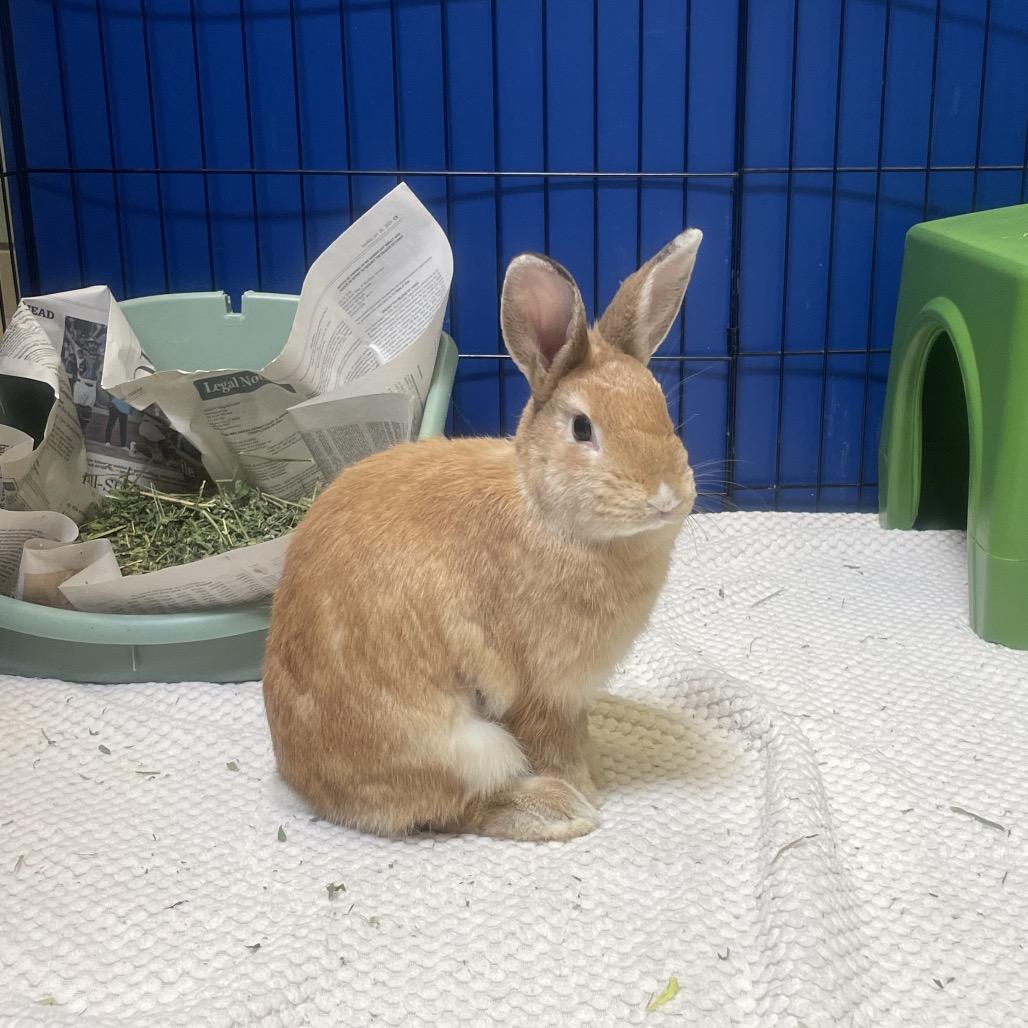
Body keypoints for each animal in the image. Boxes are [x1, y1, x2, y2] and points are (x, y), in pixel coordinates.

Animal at [263, 228, 702, 842]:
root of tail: (308, 783)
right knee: (457, 807)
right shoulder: (539, 692)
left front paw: (596, 769)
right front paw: (588, 793)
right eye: (582, 428)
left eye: (661, 408)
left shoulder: (571, 699)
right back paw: (557, 810)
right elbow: (553, 745)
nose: (665, 497)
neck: (545, 513)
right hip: (462, 746)